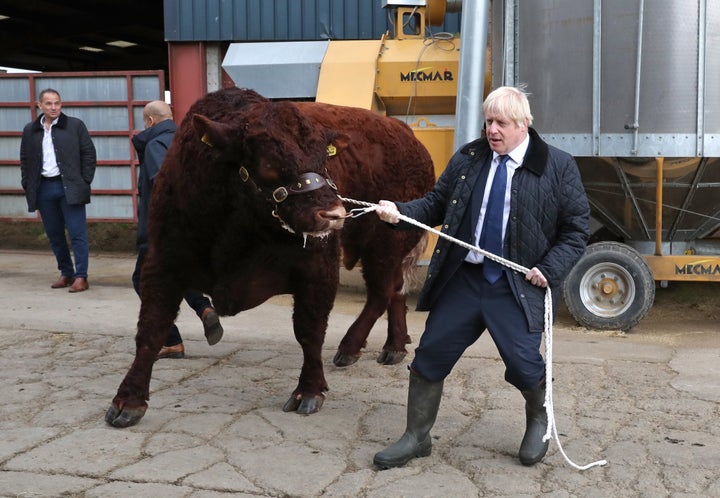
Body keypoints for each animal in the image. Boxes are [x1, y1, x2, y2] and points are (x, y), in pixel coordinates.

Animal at [105, 87, 436, 426]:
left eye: (325, 159)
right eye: (267, 163)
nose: (333, 214)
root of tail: (407, 135)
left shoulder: (317, 269)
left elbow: (309, 331)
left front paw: (308, 391)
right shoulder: (163, 263)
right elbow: (150, 330)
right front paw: (128, 400)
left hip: (385, 244)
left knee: (382, 291)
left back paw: (350, 346)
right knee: (394, 289)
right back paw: (394, 345)